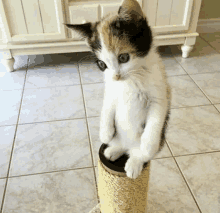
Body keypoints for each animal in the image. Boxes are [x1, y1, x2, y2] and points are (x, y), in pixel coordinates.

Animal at [66, 0, 171, 179]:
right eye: (102, 64)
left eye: (123, 57)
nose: (116, 76)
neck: (131, 79)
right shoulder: (111, 89)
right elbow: (107, 106)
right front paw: (105, 133)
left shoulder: (160, 94)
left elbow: (155, 120)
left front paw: (147, 145)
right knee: (121, 145)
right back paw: (113, 150)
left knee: (139, 153)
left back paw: (134, 163)